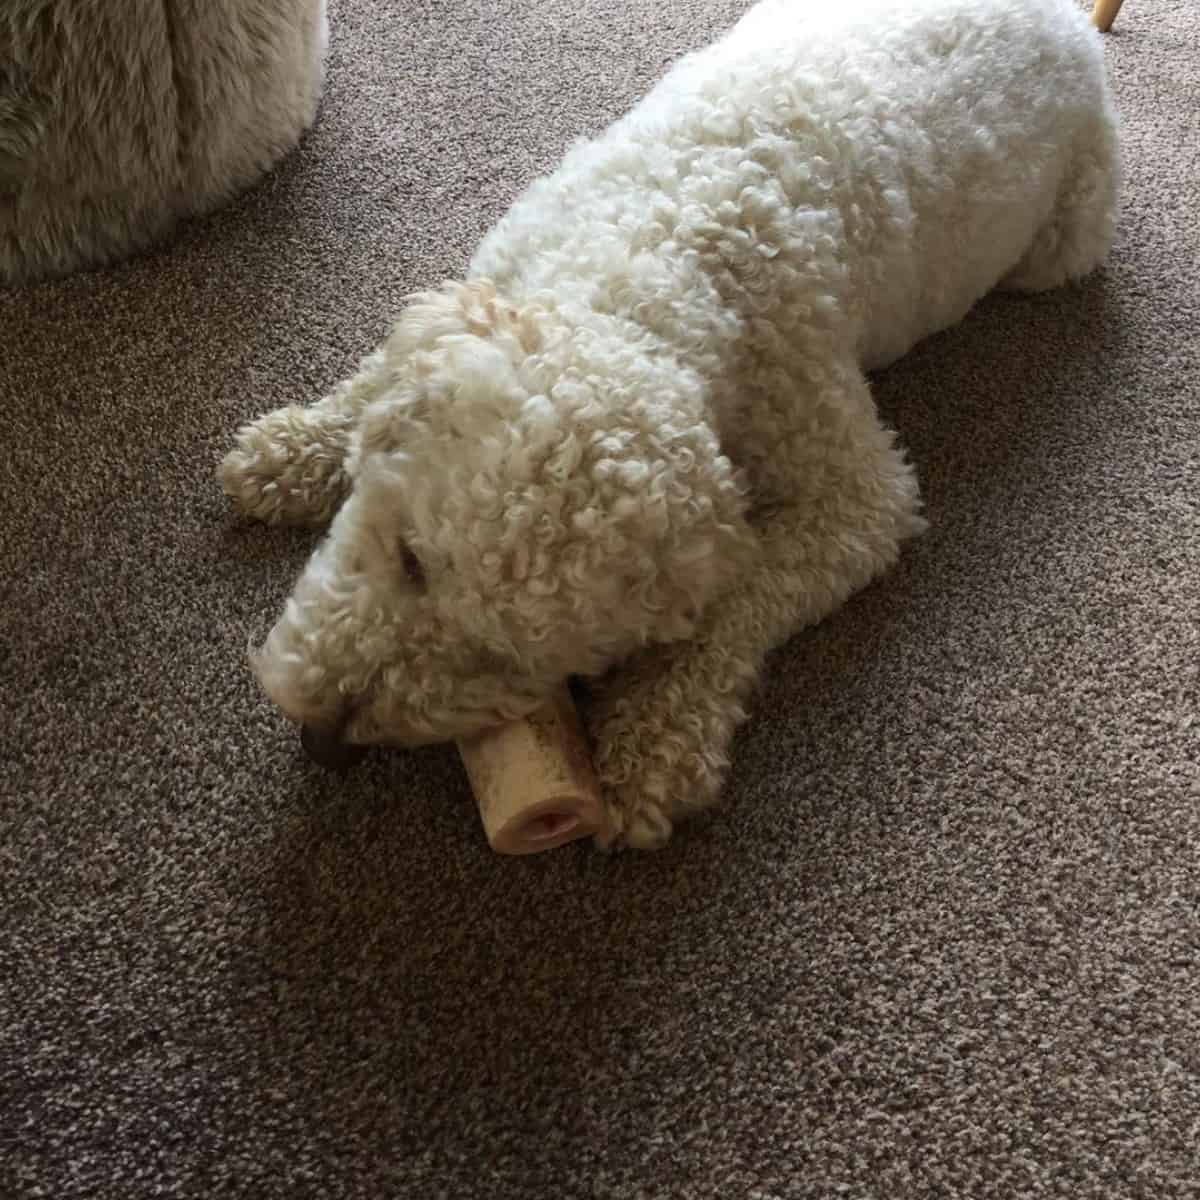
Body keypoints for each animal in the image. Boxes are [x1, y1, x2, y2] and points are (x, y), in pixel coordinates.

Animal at [220, 0, 1118, 849]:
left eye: (507, 656)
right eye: (409, 557)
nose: (327, 741)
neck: (655, 272)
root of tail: (1064, 16)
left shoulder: (856, 494)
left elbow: (737, 601)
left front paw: (653, 743)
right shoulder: (498, 272)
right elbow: (375, 379)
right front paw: (291, 452)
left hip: (1063, 239)